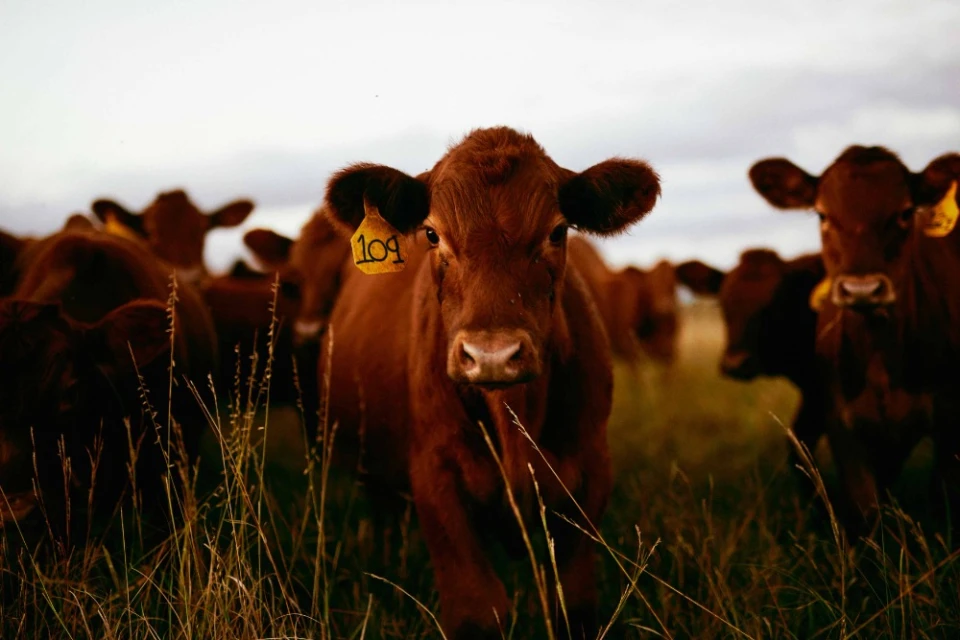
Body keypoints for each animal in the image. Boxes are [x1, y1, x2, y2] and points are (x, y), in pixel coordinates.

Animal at [319, 126, 662, 639]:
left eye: (557, 231)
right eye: (432, 233)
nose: (492, 355)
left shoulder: (591, 473)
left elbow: (574, 606)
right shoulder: (435, 477)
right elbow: (478, 611)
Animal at [749, 146, 960, 537]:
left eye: (905, 212)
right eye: (822, 214)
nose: (862, 288)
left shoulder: (950, 422)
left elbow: (946, 503)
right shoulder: (842, 424)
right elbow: (864, 511)